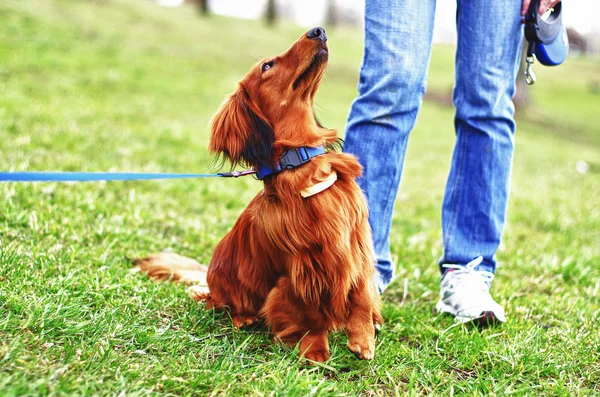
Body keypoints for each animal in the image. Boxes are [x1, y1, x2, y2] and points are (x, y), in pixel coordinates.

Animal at [134, 27, 382, 362]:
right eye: (267, 66)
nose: (318, 30)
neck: (304, 166)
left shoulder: (357, 245)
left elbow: (362, 291)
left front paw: (363, 335)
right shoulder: (300, 270)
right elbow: (311, 314)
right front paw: (315, 350)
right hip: (230, 289)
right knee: (219, 303)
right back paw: (244, 317)